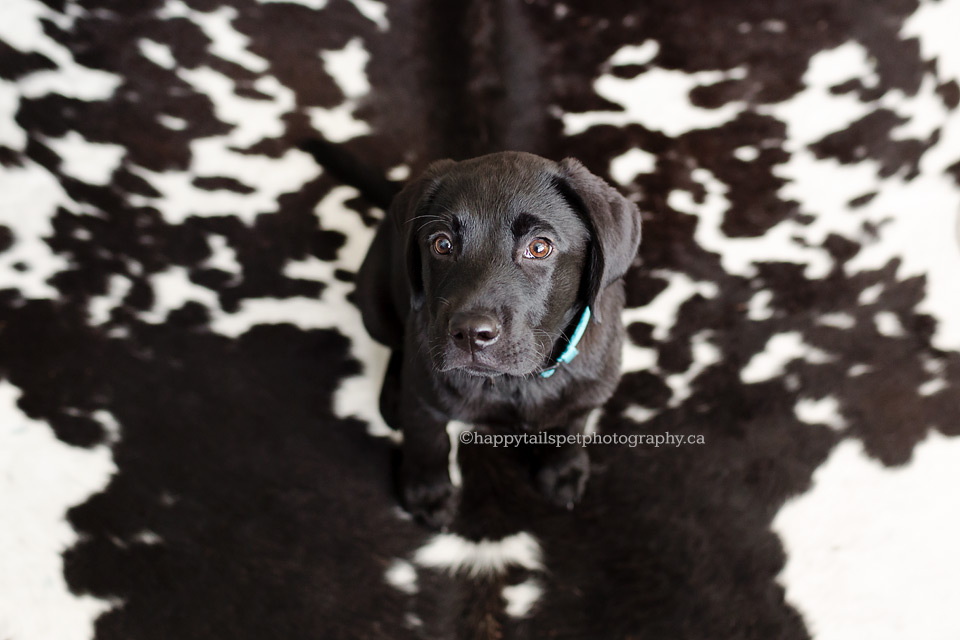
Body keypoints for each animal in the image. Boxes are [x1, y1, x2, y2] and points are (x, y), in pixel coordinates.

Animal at [356, 152, 640, 528]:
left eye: (539, 247)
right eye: (442, 244)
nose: (471, 334)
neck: (516, 383)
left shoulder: (589, 387)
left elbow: (571, 423)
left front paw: (563, 471)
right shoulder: (424, 393)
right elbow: (427, 441)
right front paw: (428, 493)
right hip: (374, 306)